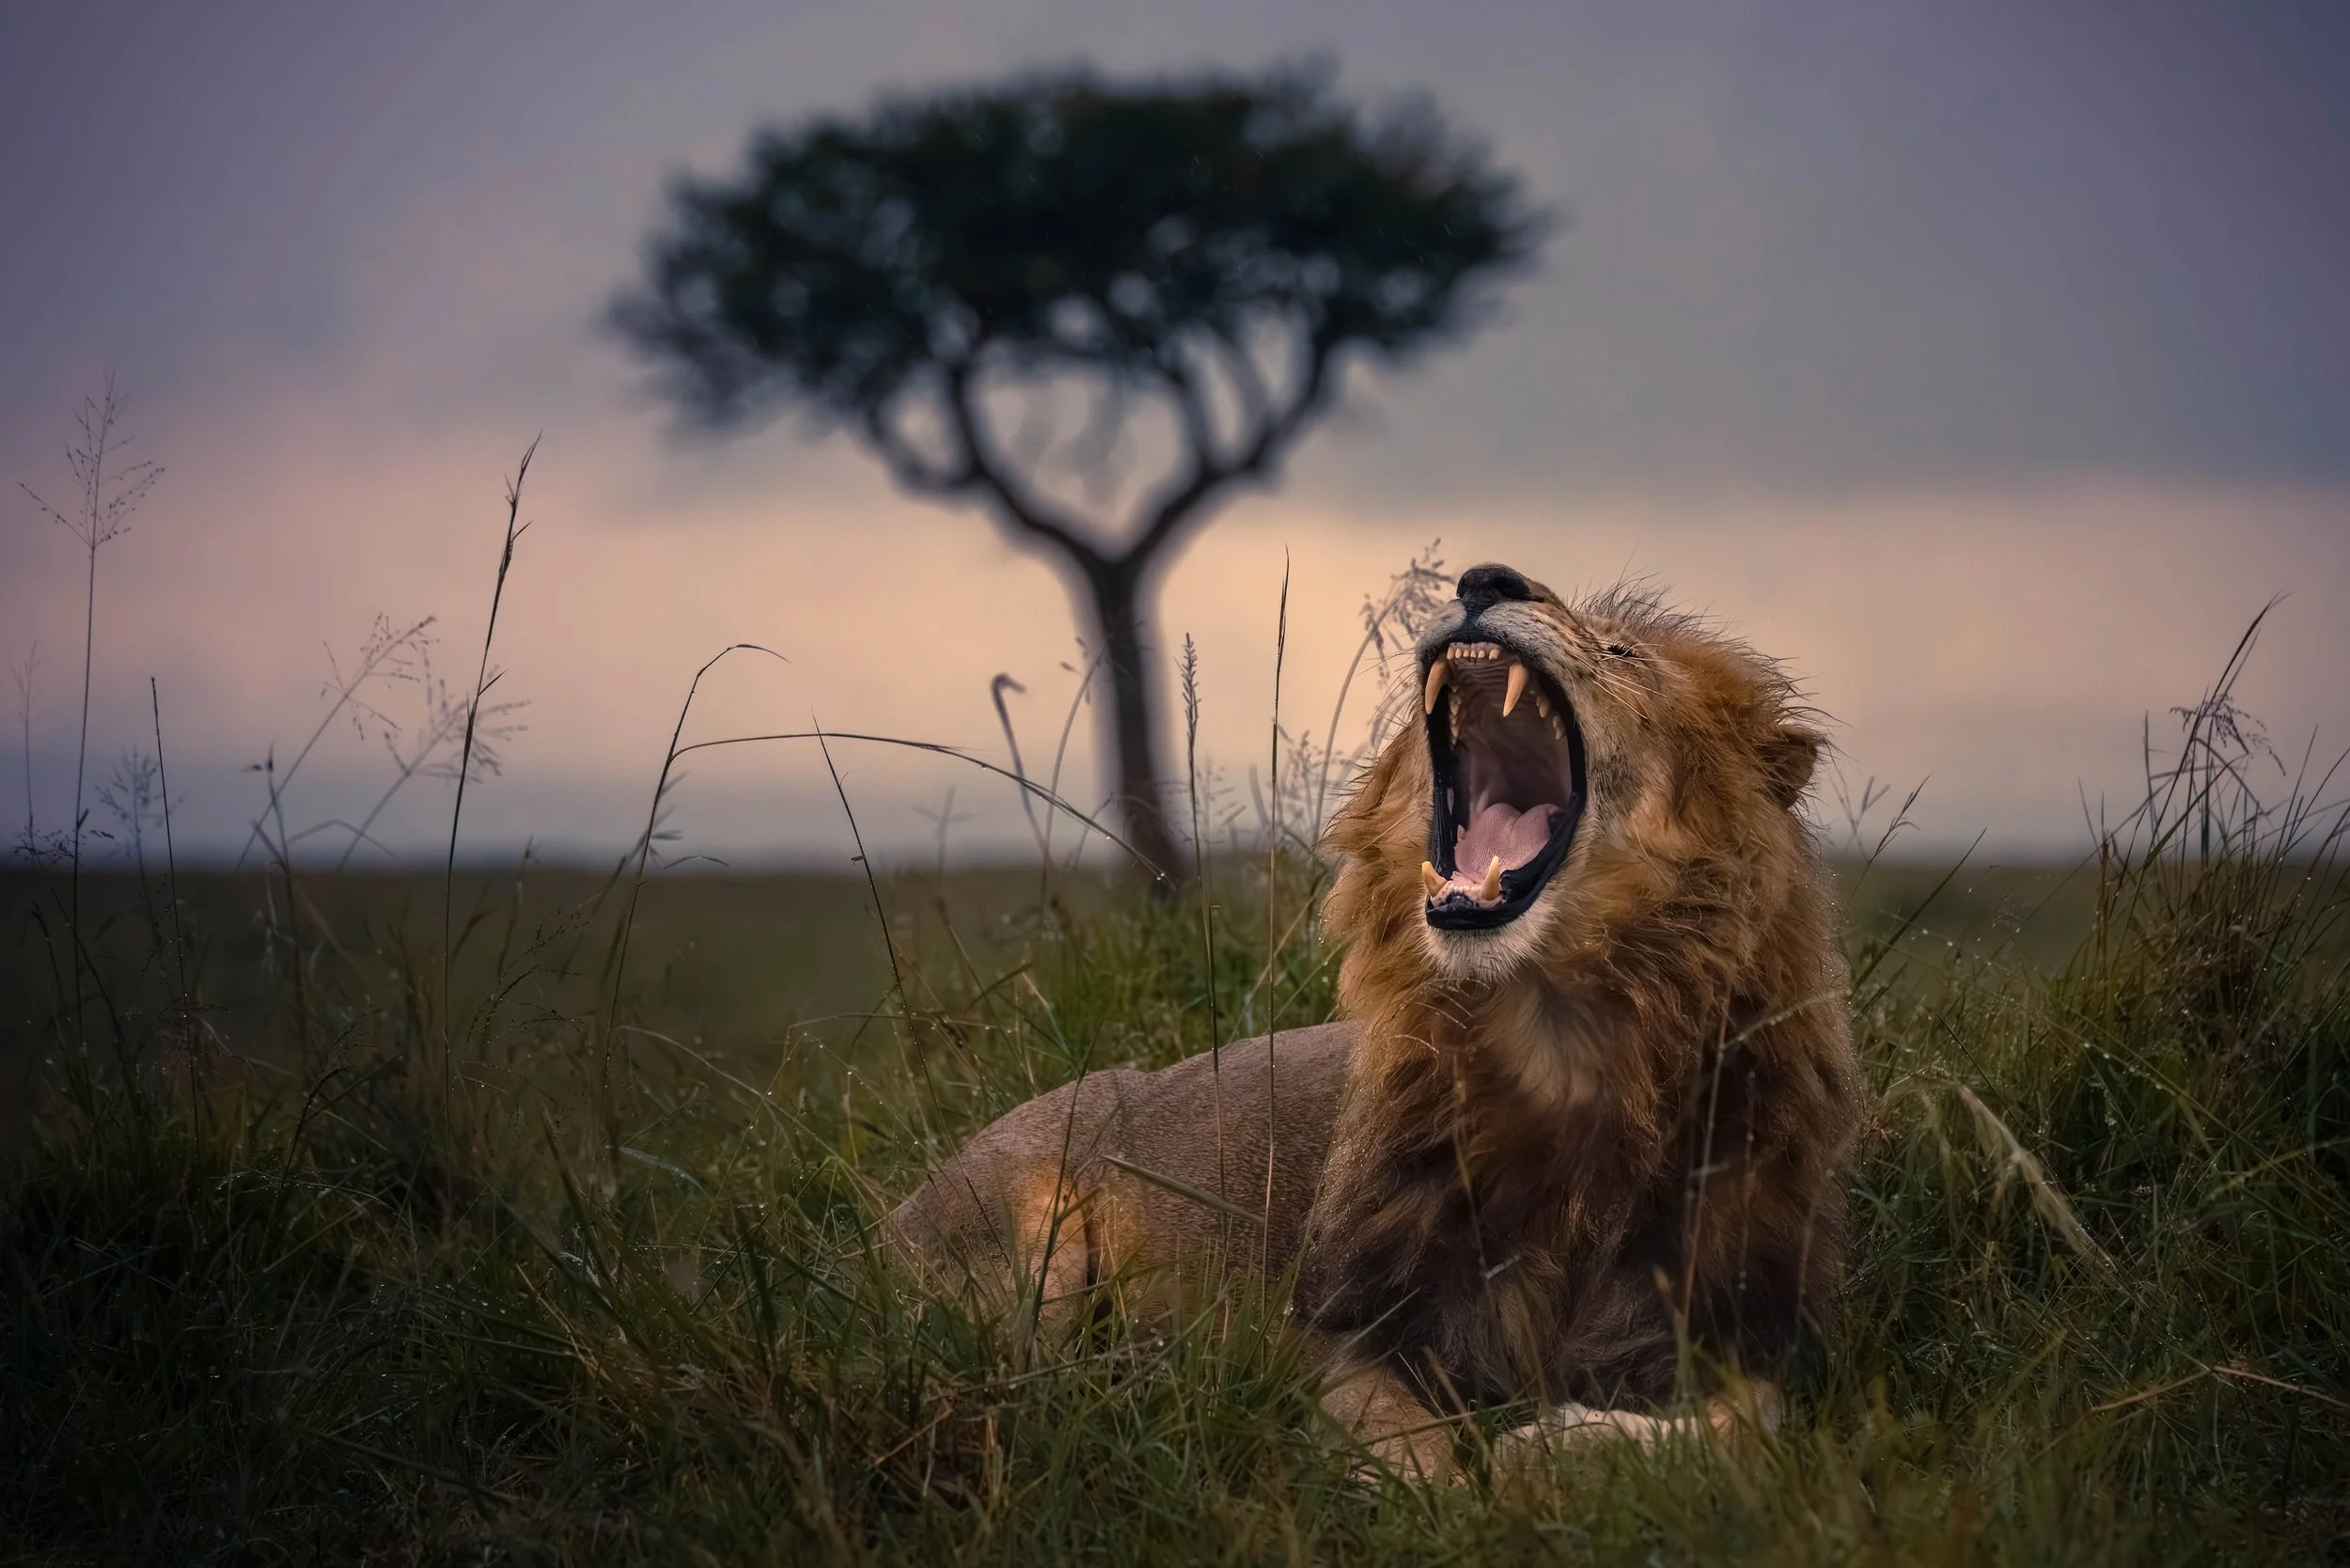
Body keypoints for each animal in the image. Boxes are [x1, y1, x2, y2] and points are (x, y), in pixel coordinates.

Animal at [888, 562, 1866, 1481]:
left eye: (1625, 654)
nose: (1485, 578)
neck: (1561, 1042)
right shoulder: (1332, 1328)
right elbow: (1414, 1455)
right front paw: (1487, 1485)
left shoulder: (1743, 1320)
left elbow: (1759, 1425)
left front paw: (1558, 1448)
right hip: (1021, 1239)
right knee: (1009, 1387)